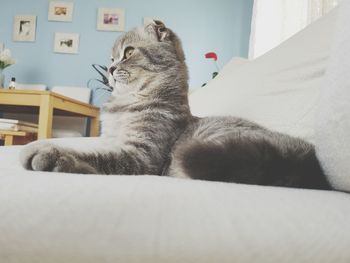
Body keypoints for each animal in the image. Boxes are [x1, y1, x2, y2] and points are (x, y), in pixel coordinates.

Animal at [20, 20, 332, 190]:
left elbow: (96, 158)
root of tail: (307, 161)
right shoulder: (110, 141)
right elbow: (91, 148)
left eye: (128, 53)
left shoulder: (141, 155)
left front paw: (49, 154)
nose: (109, 69)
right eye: (110, 58)